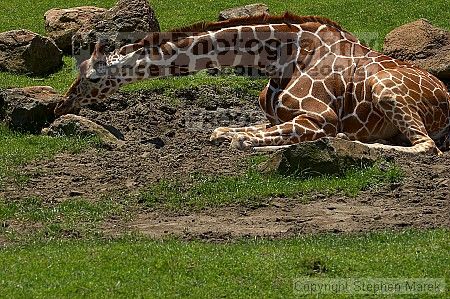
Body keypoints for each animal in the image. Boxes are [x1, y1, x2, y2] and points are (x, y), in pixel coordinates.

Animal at [55, 12, 450, 155]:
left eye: (91, 77)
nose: (62, 104)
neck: (283, 55)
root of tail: (446, 100)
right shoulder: (277, 115)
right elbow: (224, 130)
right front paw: (227, 133)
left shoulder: (319, 118)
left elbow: (246, 139)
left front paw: (243, 140)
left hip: (386, 88)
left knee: (427, 147)